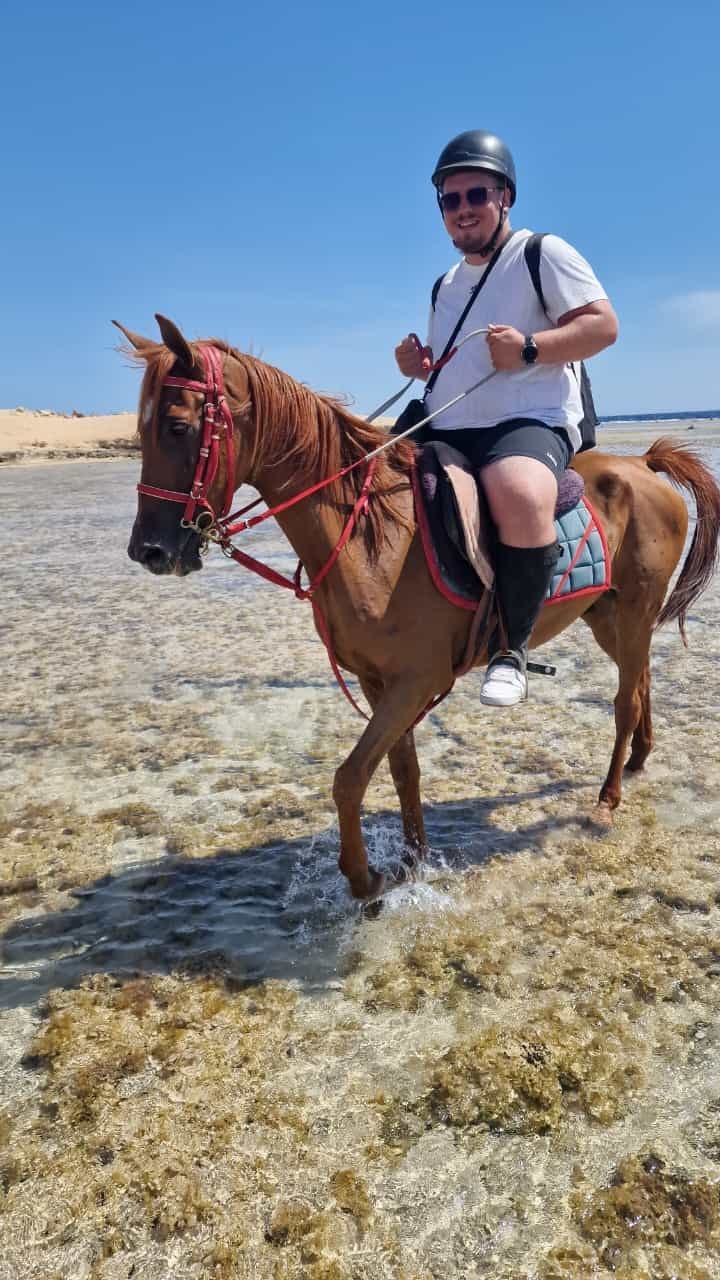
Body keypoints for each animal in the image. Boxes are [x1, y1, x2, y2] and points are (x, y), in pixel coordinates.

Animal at [117, 314, 720, 902]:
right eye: (140, 432)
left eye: (177, 426)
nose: (148, 551)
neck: (369, 535)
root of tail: (641, 463)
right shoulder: (378, 681)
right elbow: (402, 769)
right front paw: (414, 862)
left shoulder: (415, 680)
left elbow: (349, 778)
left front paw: (364, 880)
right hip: (608, 617)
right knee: (641, 682)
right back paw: (639, 759)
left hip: (634, 612)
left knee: (623, 702)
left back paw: (608, 798)